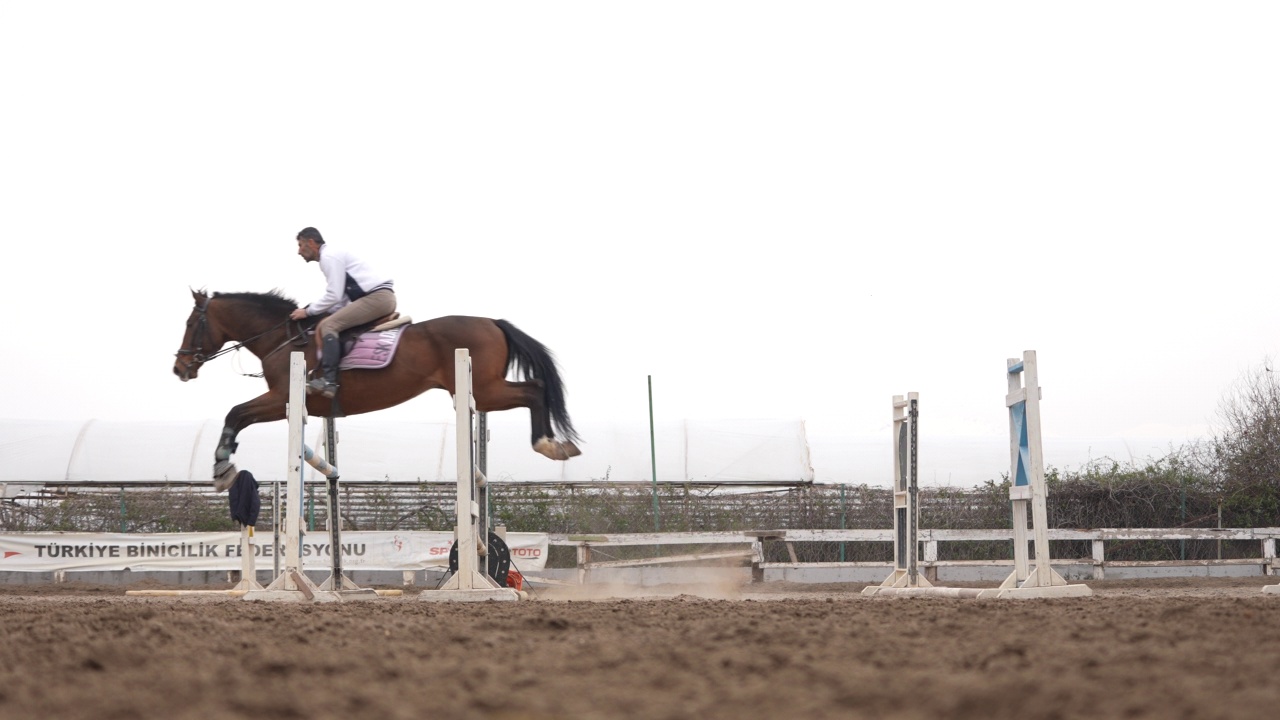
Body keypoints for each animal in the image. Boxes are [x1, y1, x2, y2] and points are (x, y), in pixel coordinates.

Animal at [172, 286, 583, 486]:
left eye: (192, 323)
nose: (179, 367)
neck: (283, 339)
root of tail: (493, 322)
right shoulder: (286, 403)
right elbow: (238, 416)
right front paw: (224, 464)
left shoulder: (281, 399)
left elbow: (235, 414)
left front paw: (222, 468)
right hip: (484, 390)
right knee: (535, 387)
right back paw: (557, 445)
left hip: (483, 391)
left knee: (534, 389)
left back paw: (549, 445)